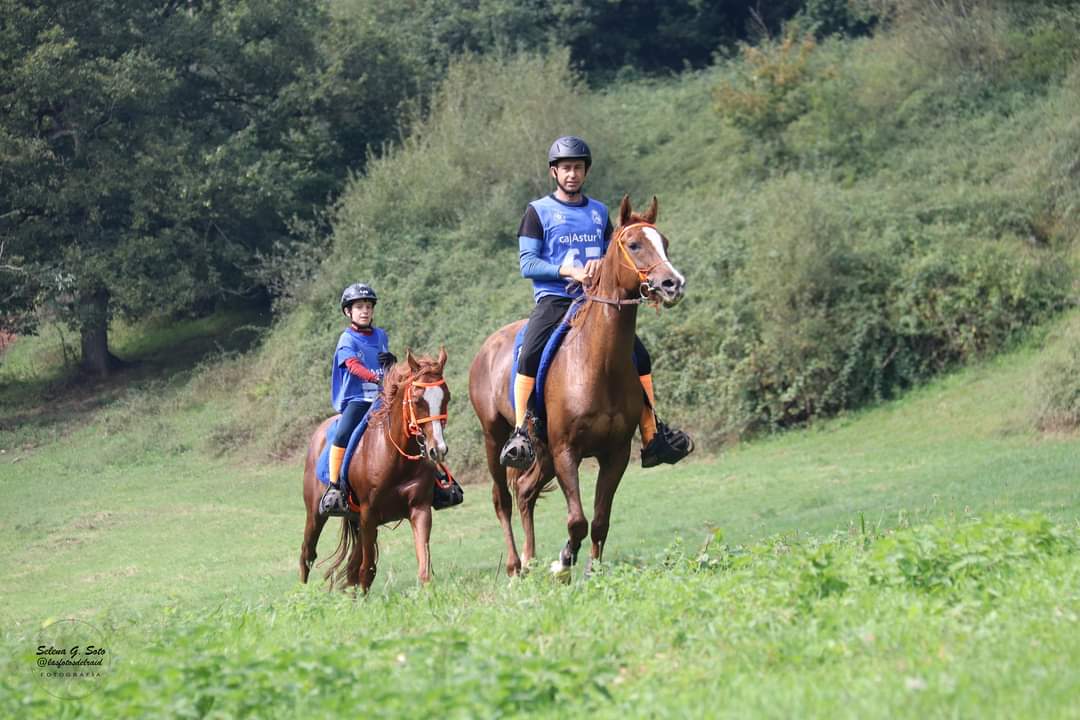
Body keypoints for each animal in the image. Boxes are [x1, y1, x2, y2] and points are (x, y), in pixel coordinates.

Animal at [298, 347, 449, 591]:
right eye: (417, 400)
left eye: (446, 397)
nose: (438, 449)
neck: (396, 459)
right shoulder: (369, 515)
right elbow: (366, 570)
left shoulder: (420, 509)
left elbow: (424, 566)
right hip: (315, 514)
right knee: (307, 554)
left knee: (350, 566)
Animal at [470, 197, 686, 578]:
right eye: (634, 244)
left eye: (665, 243)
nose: (673, 284)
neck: (599, 364)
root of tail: (486, 348)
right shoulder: (566, 451)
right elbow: (577, 521)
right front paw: (563, 561)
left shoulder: (615, 454)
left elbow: (599, 521)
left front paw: (591, 572)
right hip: (495, 438)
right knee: (503, 500)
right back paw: (514, 567)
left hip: (542, 451)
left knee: (524, 492)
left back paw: (530, 559)